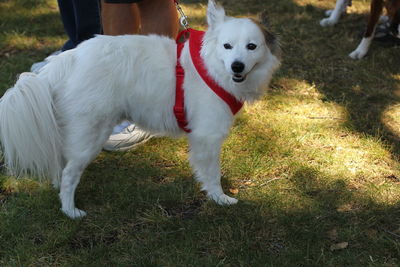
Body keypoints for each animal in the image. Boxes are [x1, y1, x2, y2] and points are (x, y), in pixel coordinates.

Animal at [0, 0, 282, 220]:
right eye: (227, 46)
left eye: (252, 47)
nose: (237, 66)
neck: (211, 67)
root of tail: (66, 61)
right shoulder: (208, 136)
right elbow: (212, 173)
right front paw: (220, 198)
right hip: (91, 135)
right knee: (70, 173)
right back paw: (70, 211)